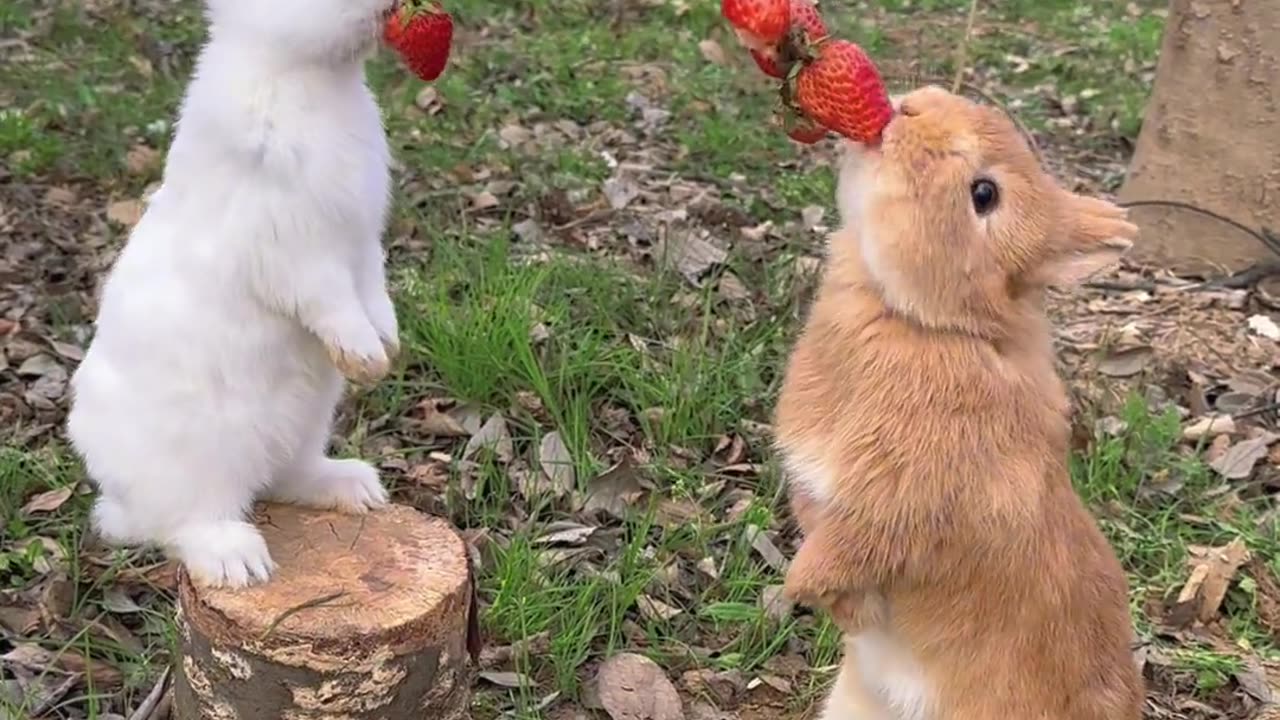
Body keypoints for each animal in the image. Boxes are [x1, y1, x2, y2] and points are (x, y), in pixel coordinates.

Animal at [63, 0, 399, 586]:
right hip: (201, 458)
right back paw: (239, 561)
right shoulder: (296, 254)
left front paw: (388, 345)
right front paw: (365, 358)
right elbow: (331, 302)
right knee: (183, 524)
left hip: (305, 421)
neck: (307, 74)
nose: (393, 7)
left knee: (284, 477)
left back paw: (354, 487)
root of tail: (119, 497)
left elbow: (373, 294)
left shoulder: (361, 246)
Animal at [773, 83, 1146, 717]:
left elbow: (843, 556)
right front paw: (845, 613)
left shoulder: (899, 507)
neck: (938, 326)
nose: (911, 107)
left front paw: (806, 593)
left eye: (984, 194)